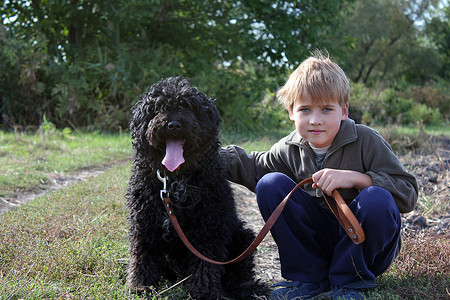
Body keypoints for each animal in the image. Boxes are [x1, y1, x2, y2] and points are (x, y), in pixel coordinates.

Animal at [125, 76, 268, 298]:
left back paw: (248, 287)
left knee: (240, 271)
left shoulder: (208, 227)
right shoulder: (144, 223)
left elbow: (205, 261)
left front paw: (204, 290)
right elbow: (142, 255)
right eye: (158, 108)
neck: (174, 179)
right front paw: (140, 285)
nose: (174, 125)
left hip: (243, 238)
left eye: (189, 107)